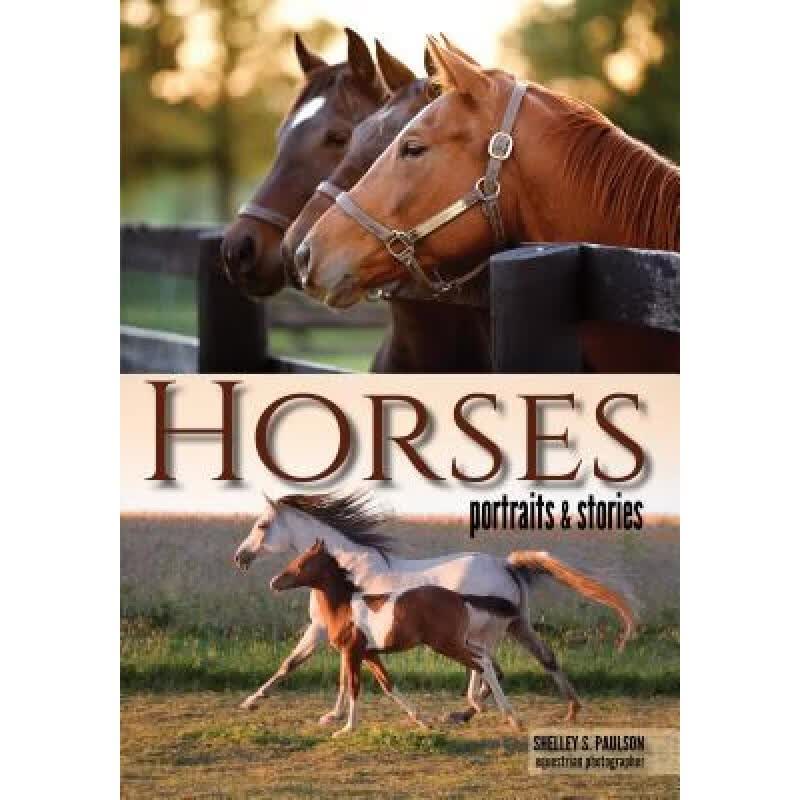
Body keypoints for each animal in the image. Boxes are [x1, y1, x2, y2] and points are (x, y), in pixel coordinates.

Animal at [271, 538, 523, 737]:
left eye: (302, 563)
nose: (274, 582)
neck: (344, 609)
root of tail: (460, 597)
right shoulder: (369, 654)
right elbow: (387, 685)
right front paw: (422, 721)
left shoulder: (352, 652)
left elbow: (354, 686)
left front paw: (346, 729)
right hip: (458, 641)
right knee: (485, 659)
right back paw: (500, 713)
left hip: (446, 644)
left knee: (480, 663)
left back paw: (501, 713)